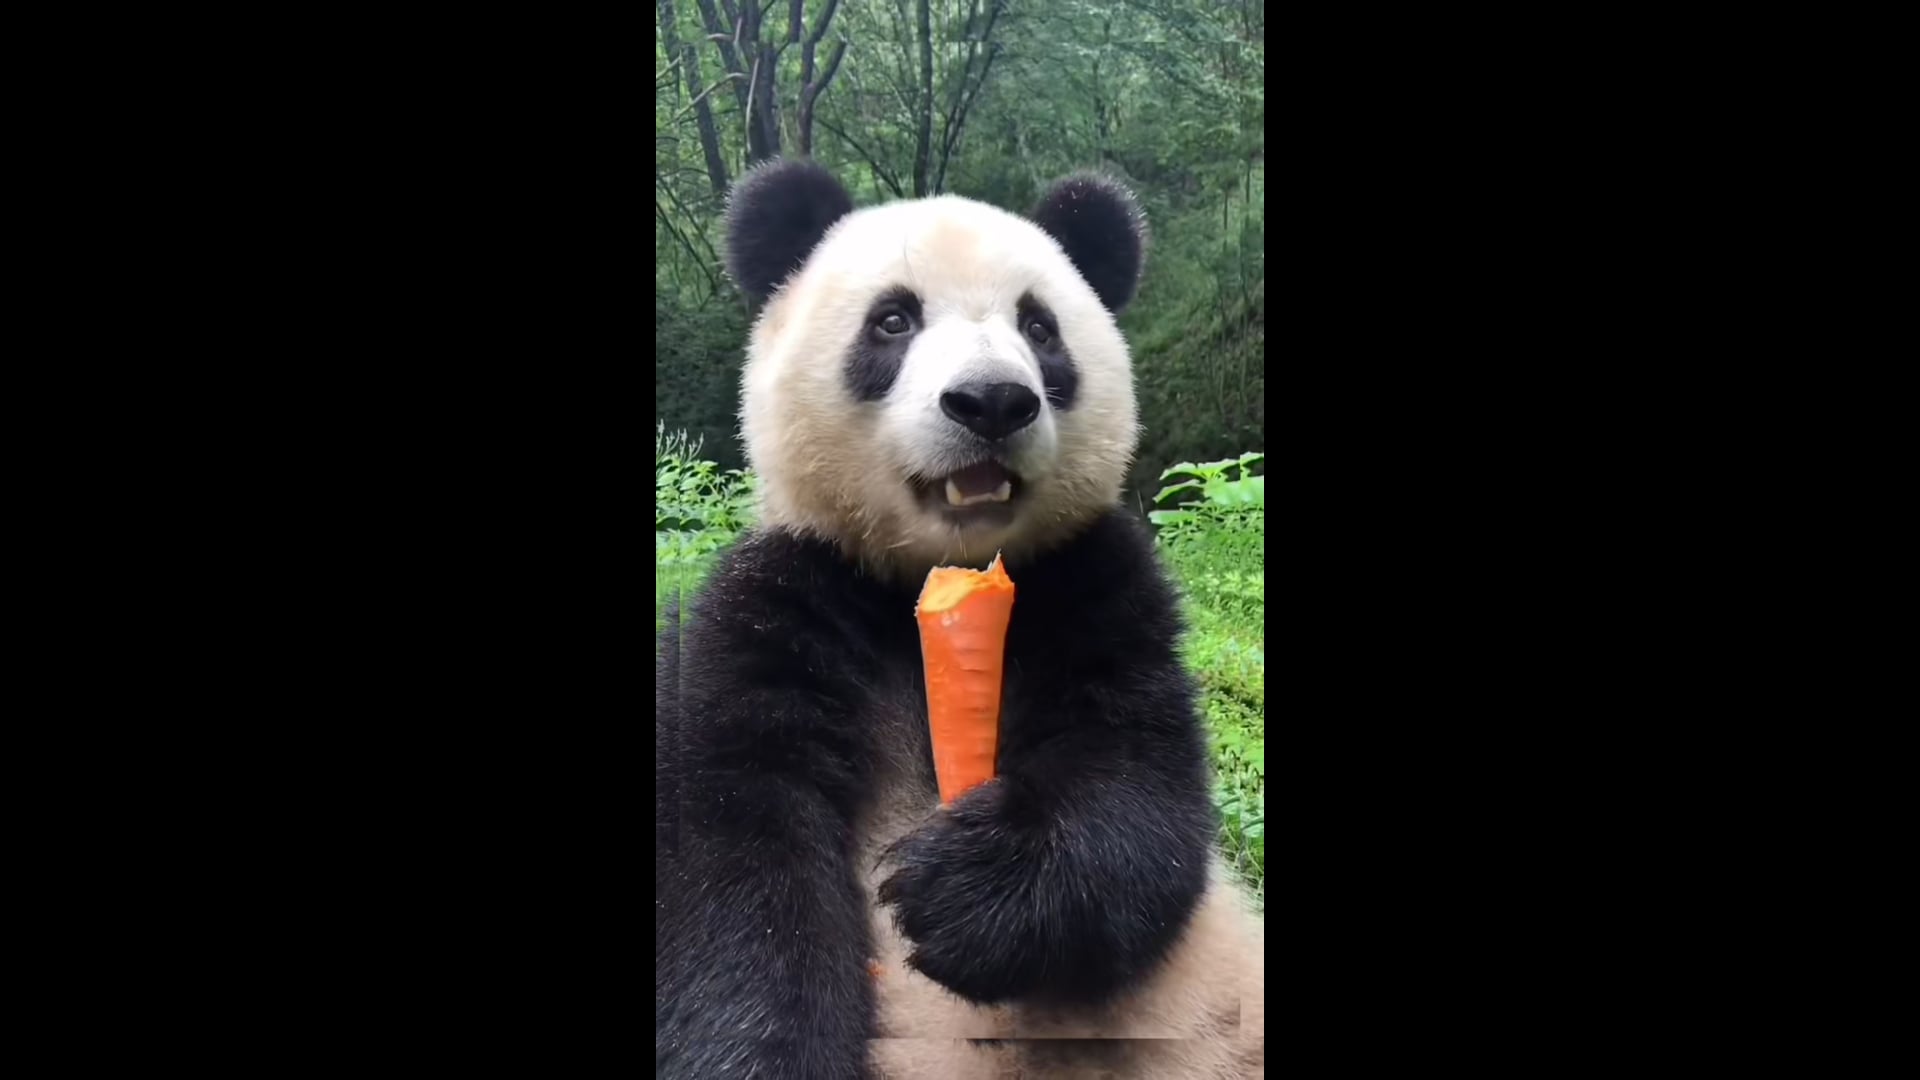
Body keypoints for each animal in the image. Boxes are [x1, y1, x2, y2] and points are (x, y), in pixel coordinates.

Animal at [656, 158, 1264, 1079]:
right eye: (893, 320)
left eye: (1040, 327)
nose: (992, 402)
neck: (933, 579)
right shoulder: (779, 600)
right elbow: (732, 852)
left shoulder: (1092, 582)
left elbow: (1135, 785)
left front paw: (962, 889)